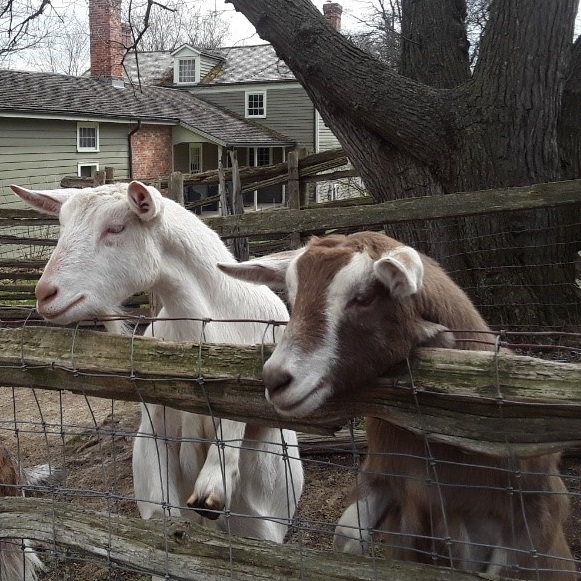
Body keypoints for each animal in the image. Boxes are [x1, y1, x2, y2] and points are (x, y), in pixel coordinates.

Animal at [12, 182, 304, 544]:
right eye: (63, 226)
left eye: (116, 228)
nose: (44, 294)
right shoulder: (156, 422)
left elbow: (242, 411)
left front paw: (212, 484)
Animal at [221, 232, 576, 580]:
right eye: (293, 299)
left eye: (363, 298)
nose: (275, 379)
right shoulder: (388, 475)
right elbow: (347, 537)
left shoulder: (533, 520)